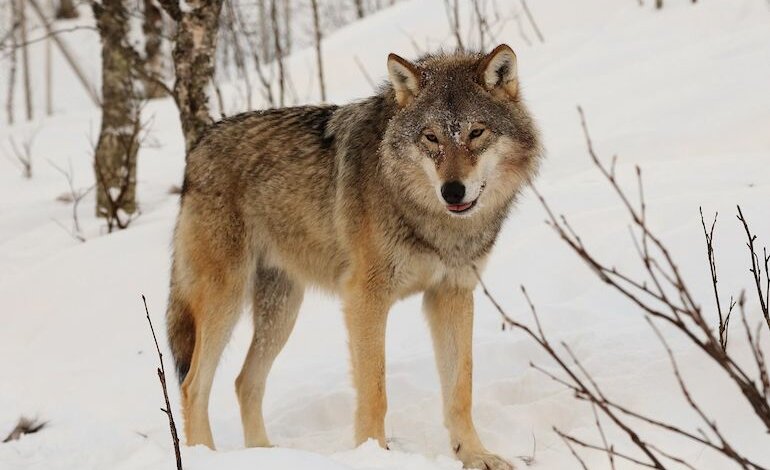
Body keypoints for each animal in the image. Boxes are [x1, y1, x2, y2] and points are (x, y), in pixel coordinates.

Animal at [166, 44, 541, 469]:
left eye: (476, 132)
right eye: (431, 137)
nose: (453, 191)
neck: (430, 220)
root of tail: (198, 146)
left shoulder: (452, 294)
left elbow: (461, 389)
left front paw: (476, 455)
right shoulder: (365, 297)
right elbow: (375, 391)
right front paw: (374, 454)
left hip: (281, 312)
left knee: (245, 381)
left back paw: (266, 454)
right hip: (225, 301)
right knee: (193, 385)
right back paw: (205, 456)